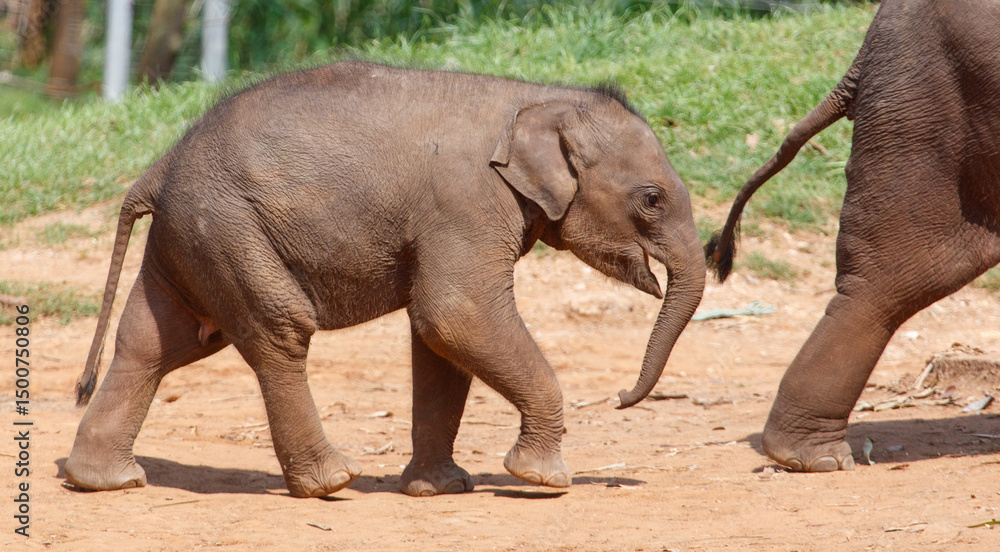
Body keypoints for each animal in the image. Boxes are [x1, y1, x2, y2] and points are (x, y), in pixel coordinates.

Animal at [65, 61, 706, 498]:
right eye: (651, 199)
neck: (534, 98)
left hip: (189, 238)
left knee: (155, 343)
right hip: (228, 229)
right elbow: (456, 314)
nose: (622, 398)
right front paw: (542, 479)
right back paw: (330, 482)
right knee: (278, 333)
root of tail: (157, 167)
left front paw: (439, 489)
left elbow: (439, 340)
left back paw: (106, 481)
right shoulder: (465, 203)